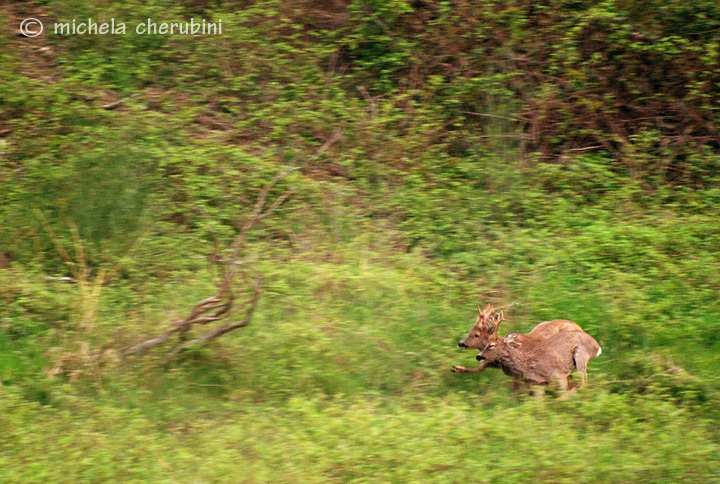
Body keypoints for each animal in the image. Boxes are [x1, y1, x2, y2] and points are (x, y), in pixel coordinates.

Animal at [456, 304, 584, 376]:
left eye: (476, 335)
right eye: (470, 331)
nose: (461, 343)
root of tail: (580, 328)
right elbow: (476, 369)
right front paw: (456, 368)